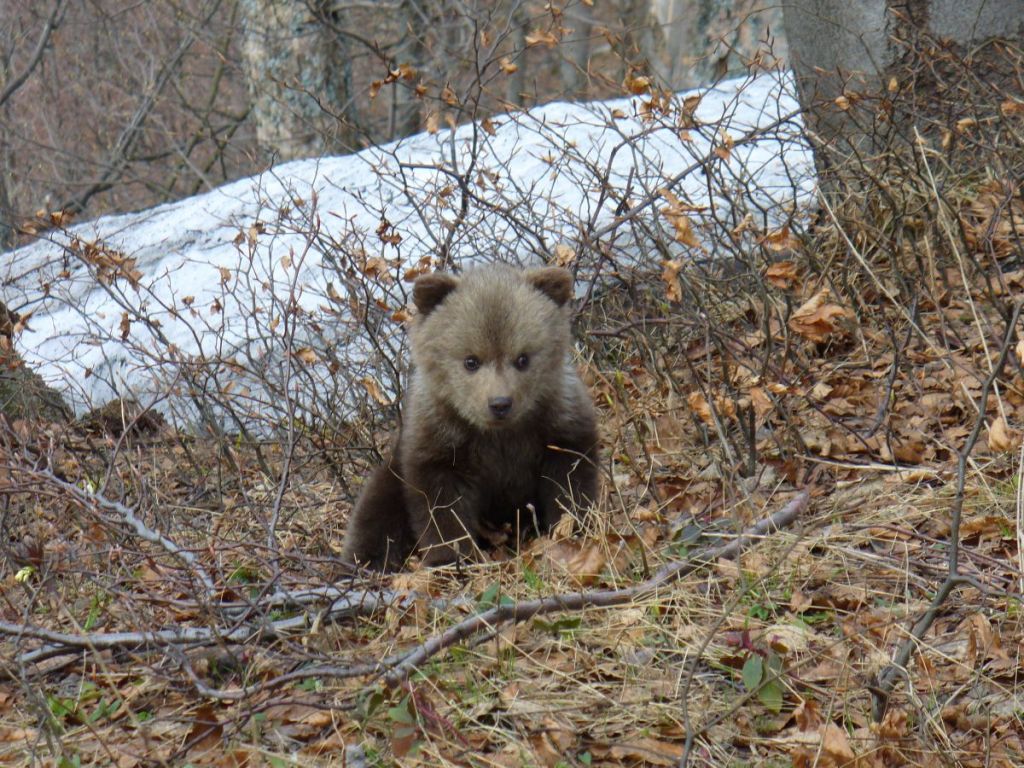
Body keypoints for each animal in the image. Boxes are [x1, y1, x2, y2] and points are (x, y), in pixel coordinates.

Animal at [340, 263, 599, 571]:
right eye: (471, 361)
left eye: (523, 358)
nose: (500, 403)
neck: (497, 434)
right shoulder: (441, 441)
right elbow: (441, 506)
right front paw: (451, 557)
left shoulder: (558, 423)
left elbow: (570, 481)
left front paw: (573, 528)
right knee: (376, 513)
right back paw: (364, 564)